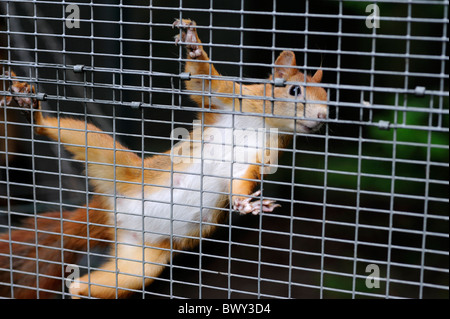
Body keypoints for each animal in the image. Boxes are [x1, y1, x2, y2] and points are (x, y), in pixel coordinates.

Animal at [0, 19, 326, 300]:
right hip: (114, 162)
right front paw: (193, 45)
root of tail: (108, 214)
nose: (324, 116)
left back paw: (79, 290)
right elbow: (203, 82)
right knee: (68, 131)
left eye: (328, 96)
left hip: (141, 261)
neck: (263, 123)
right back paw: (35, 115)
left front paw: (246, 204)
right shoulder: (230, 100)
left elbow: (241, 181)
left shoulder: (260, 157)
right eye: (295, 90)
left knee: (106, 282)